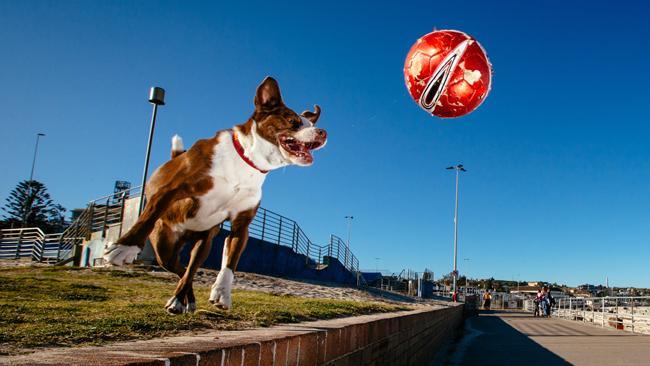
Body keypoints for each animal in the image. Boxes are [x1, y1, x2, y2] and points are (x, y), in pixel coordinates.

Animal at [104, 77, 326, 314]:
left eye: (312, 125)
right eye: (293, 121)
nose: (323, 132)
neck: (247, 161)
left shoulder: (241, 225)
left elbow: (230, 262)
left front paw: (221, 293)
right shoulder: (170, 190)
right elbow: (147, 217)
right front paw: (124, 247)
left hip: (204, 241)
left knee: (189, 269)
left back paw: (183, 300)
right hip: (164, 247)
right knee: (180, 267)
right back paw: (180, 299)